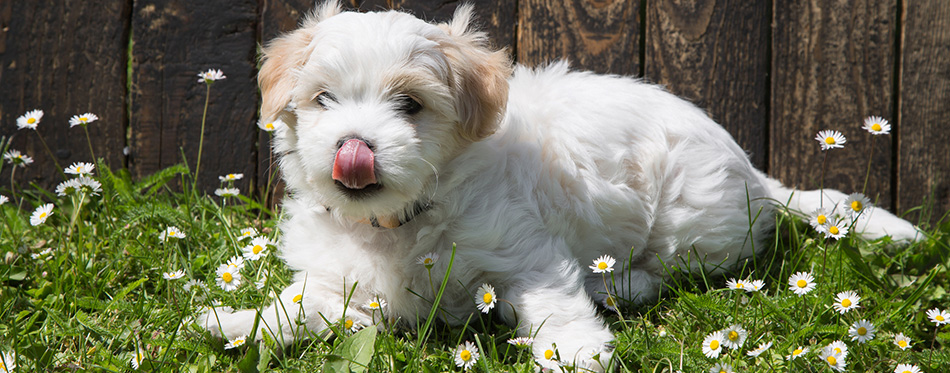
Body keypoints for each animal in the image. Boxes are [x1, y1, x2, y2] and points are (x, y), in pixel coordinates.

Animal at [203, 2, 924, 370]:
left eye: (409, 105)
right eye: (323, 100)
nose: (354, 147)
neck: (395, 222)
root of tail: (756, 173)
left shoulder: (524, 251)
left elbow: (554, 301)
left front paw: (573, 351)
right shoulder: (347, 286)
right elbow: (302, 305)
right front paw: (236, 320)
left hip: (686, 215)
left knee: (673, 270)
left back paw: (616, 287)